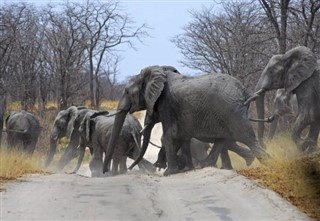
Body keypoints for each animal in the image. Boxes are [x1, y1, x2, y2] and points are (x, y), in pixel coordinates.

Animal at [104, 64, 270, 175]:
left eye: (127, 92)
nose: (104, 172)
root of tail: (244, 91)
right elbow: (182, 136)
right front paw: (187, 169)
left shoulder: (166, 103)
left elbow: (169, 135)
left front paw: (169, 173)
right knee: (224, 139)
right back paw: (208, 165)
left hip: (232, 111)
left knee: (246, 137)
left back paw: (268, 164)